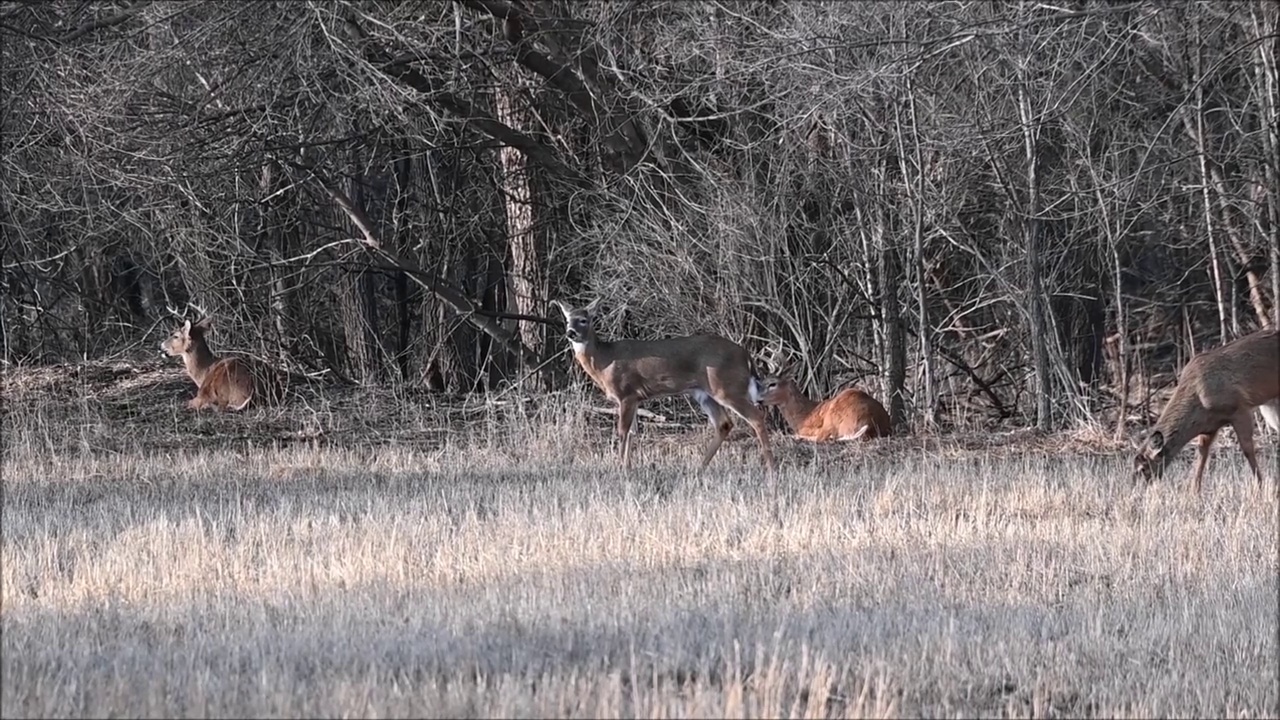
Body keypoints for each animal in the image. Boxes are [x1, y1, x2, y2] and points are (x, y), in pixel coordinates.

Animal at [547, 297, 773, 471]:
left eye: (584, 320)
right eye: (567, 320)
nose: (570, 332)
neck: (604, 361)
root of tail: (745, 354)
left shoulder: (626, 393)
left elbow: (622, 432)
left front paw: (619, 467)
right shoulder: (635, 399)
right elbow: (632, 432)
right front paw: (628, 468)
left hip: (727, 387)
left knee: (756, 416)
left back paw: (771, 467)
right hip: (703, 392)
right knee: (724, 423)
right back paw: (700, 467)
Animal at [1131, 327, 1280, 489]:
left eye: (1143, 468)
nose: (1137, 488)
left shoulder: (1240, 408)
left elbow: (1247, 449)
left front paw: (1260, 485)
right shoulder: (1210, 427)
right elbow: (1202, 454)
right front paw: (1193, 490)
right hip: (1270, 406)